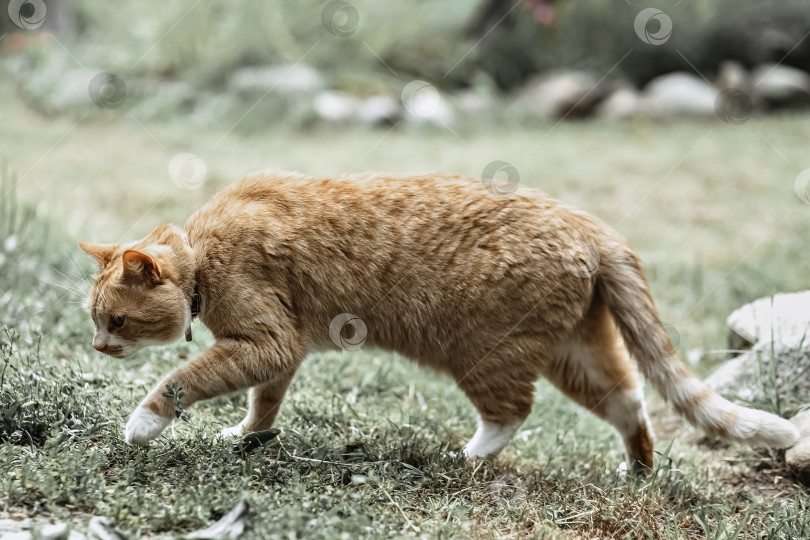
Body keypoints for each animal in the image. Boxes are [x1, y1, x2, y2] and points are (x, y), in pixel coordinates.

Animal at [77, 171, 796, 466]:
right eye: (97, 320)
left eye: (117, 321)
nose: (97, 347)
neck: (204, 254)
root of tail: (589, 224)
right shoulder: (279, 352)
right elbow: (263, 401)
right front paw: (248, 435)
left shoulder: (268, 341)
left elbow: (183, 380)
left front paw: (142, 424)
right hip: (575, 351)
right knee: (631, 398)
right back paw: (637, 470)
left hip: (482, 351)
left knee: (514, 411)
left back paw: (468, 455)